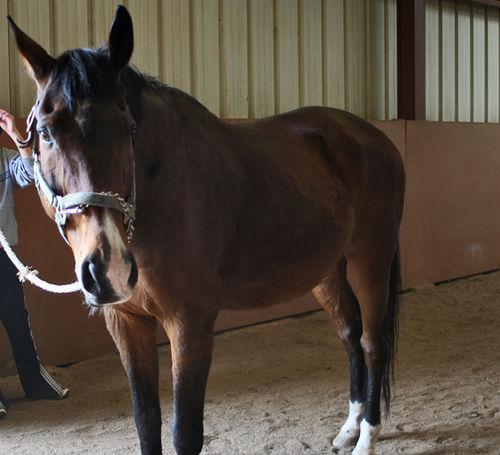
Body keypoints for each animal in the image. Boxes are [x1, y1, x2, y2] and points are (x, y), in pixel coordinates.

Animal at [9, 6, 404, 455]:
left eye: (128, 129)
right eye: (45, 132)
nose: (108, 270)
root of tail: (377, 139)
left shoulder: (190, 323)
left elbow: (185, 432)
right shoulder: (126, 323)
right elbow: (146, 420)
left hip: (370, 260)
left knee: (373, 342)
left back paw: (367, 436)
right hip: (327, 270)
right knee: (350, 334)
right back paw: (349, 428)